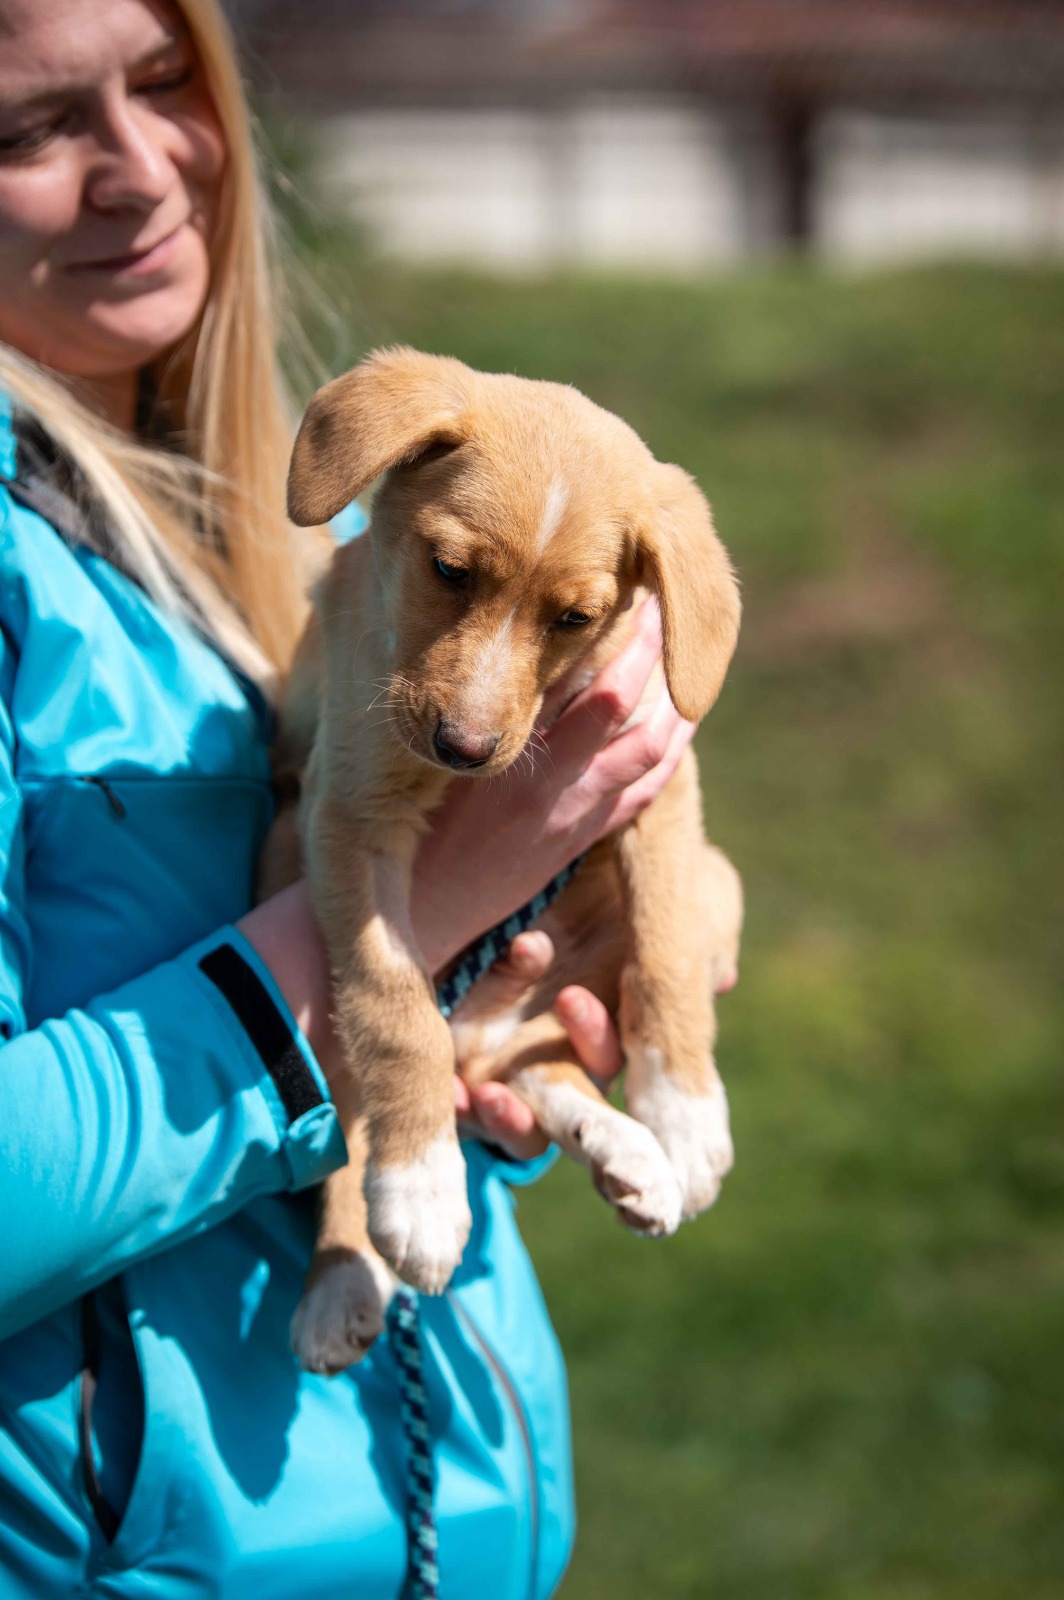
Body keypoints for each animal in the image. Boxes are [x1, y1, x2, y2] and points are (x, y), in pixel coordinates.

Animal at [262, 347, 742, 1374]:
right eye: (448, 570)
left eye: (575, 618)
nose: (465, 746)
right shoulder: (349, 816)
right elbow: (394, 1007)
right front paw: (421, 1192)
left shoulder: (658, 787)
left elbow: (669, 949)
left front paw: (684, 1111)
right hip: (284, 852)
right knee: (357, 1109)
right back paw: (348, 1273)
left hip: (709, 887)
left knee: (541, 1062)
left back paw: (627, 1147)